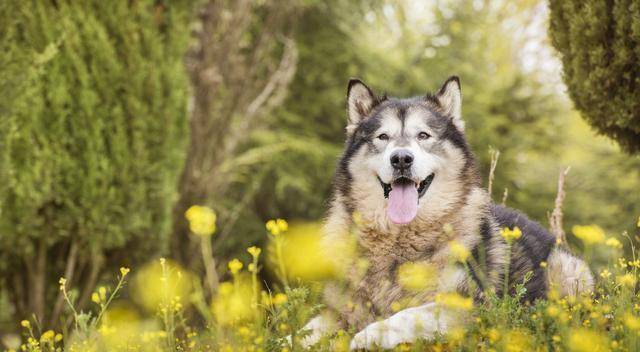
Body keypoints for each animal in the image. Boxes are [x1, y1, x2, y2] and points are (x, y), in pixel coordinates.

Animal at [296, 77, 596, 350]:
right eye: (383, 137)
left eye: (423, 135)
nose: (401, 158)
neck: (400, 240)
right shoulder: (338, 312)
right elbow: (304, 331)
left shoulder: (472, 306)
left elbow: (409, 314)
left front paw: (370, 334)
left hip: (567, 272)